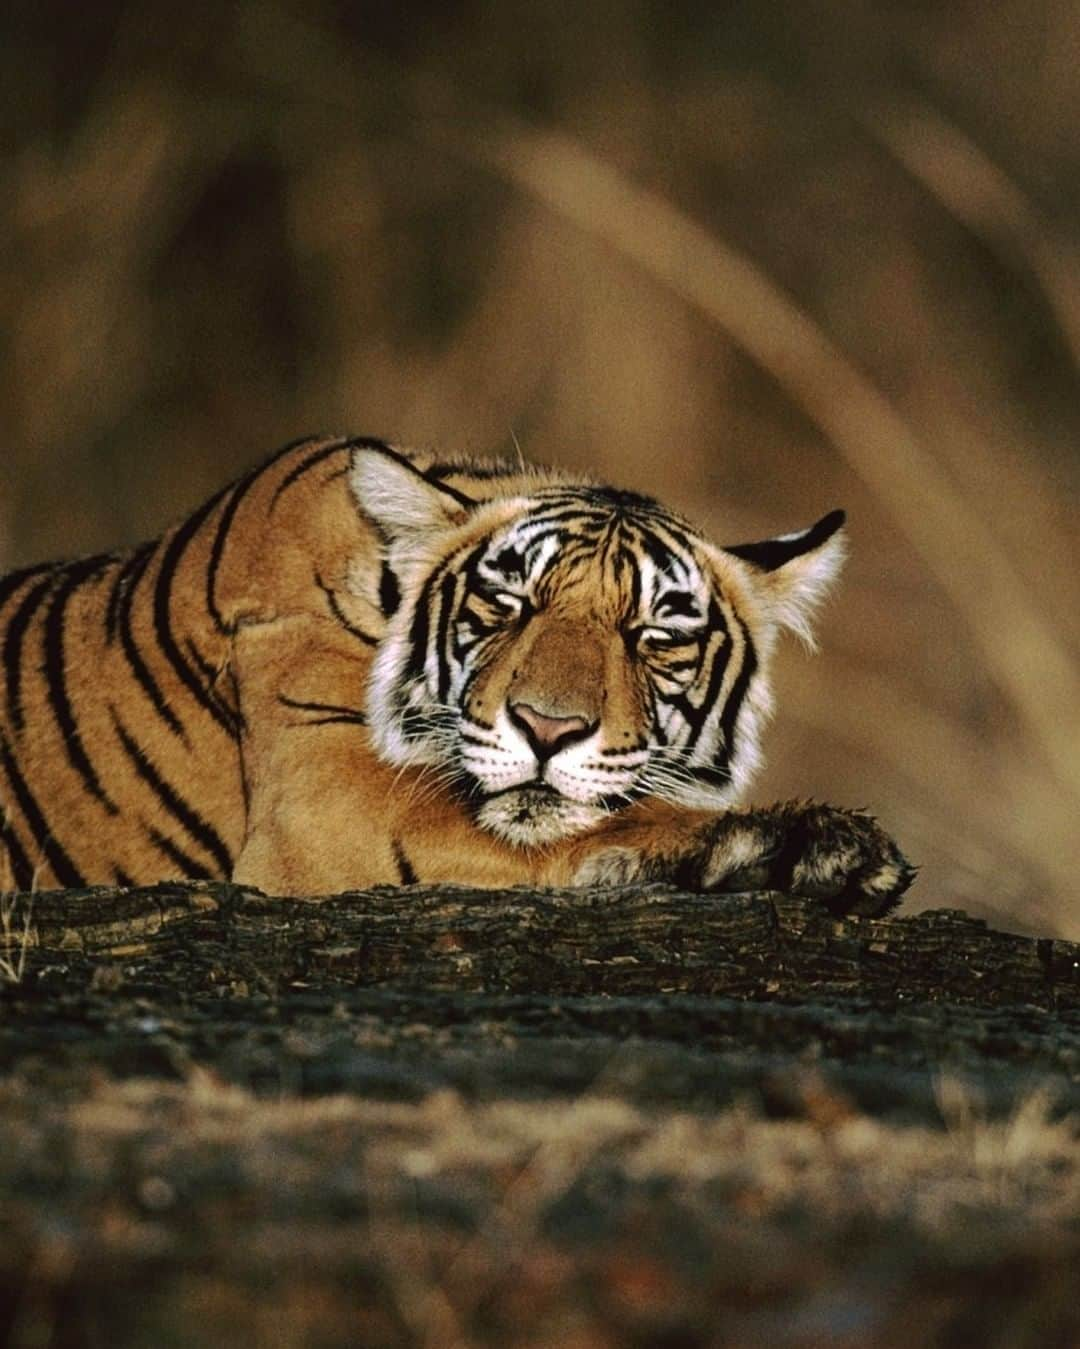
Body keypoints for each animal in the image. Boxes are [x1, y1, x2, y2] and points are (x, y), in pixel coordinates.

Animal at [0, 437, 911, 911]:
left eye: (654, 634)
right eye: (508, 601)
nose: (548, 728)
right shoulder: (334, 815)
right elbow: (602, 825)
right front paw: (808, 846)